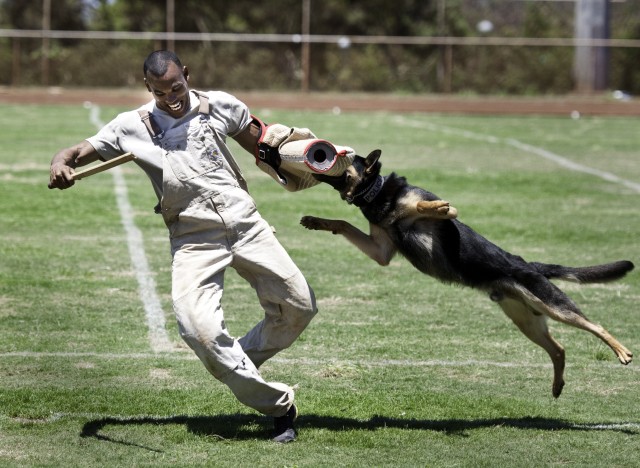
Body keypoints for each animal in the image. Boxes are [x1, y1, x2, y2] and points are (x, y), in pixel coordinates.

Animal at [302, 150, 632, 398]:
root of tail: (529, 265)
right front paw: (316, 220)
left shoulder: (421, 219)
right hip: (526, 319)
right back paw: (557, 386)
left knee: (595, 325)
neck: (377, 194)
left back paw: (623, 352)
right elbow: (343, 222)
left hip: (551, 305)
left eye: (346, 158)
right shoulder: (380, 251)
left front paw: (438, 206)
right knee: (560, 349)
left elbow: (427, 207)